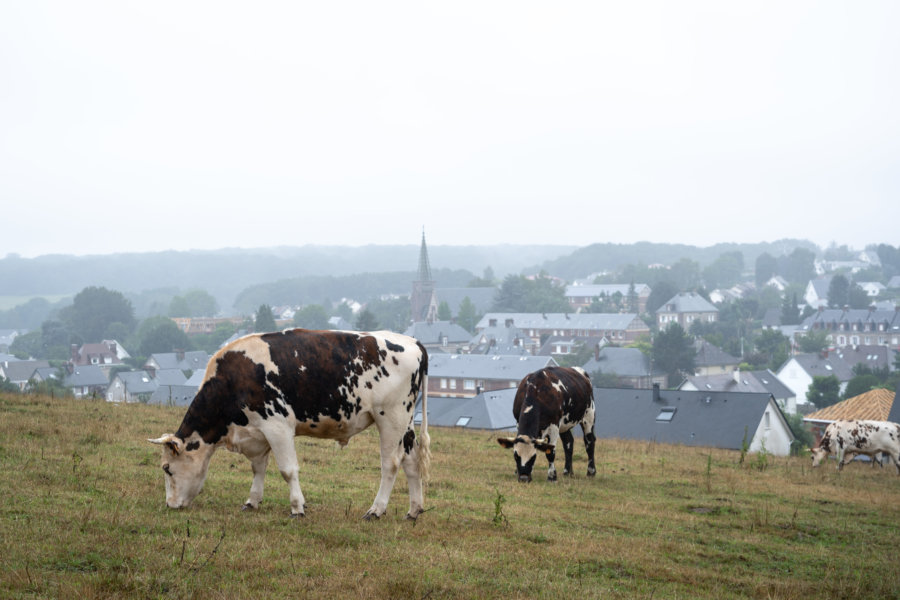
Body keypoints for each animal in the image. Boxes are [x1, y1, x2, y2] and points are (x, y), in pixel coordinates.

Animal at [149, 328, 430, 520]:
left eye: (167, 468)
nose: (169, 504)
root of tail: (413, 342)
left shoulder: (278, 426)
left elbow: (287, 470)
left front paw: (297, 507)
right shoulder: (257, 432)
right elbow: (258, 468)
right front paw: (252, 501)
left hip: (391, 417)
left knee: (390, 464)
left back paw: (376, 509)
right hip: (406, 423)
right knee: (411, 461)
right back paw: (414, 510)